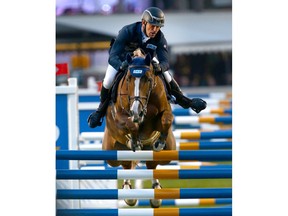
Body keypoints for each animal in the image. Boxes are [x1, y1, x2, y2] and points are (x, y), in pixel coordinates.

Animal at [102, 48, 177, 208]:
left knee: (151, 164)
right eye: (129, 79)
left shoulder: (163, 111)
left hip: (168, 153)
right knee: (126, 165)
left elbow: (167, 119)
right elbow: (131, 124)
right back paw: (128, 194)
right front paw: (134, 140)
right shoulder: (120, 117)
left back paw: (156, 193)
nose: (136, 111)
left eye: (148, 79)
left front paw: (159, 141)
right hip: (112, 152)